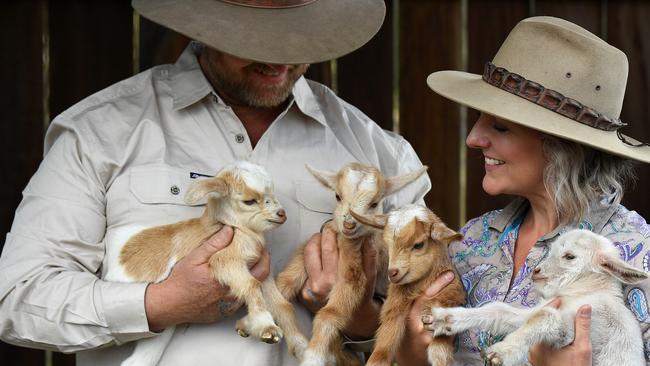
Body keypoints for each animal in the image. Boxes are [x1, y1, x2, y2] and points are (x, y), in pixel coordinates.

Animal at [105, 162, 308, 366]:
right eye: (249, 201)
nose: (281, 214)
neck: (233, 226)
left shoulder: (262, 273)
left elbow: (282, 304)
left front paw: (301, 347)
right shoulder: (225, 261)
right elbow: (251, 285)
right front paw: (266, 327)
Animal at [274, 163, 426, 366]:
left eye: (374, 204)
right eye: (338, 196)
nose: (348, 225)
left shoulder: (353, 274)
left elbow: (330, 313)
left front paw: (312, 357)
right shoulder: (308, 250)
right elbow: (284, 285)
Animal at [422, 229, 644, 366]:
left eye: (570, 256)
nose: (536, 271)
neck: (587, 292)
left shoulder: (588, 327)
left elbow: (545, 316)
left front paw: (499, 353)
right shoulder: (528, 314)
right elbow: (498, 310)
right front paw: (443, 319)